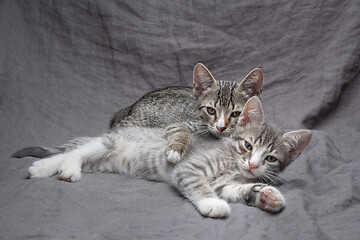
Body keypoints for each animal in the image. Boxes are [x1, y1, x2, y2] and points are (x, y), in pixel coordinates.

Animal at [13, 62, 264, 163]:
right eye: (211, 110)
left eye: (235, 114)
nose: (221, 126)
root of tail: (128, 110)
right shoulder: (180, 122)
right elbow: (181, 130)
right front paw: (175, 149)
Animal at [26, 96, 312, 218]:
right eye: (248, 145)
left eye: (271, 158)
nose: (252, 164)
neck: (233, 166)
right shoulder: (190, 167)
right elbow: (197, 184)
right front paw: (212, 203)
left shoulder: (225, 183)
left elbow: (237, 190)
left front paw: (264, 195)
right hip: (108, 143)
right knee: (76, 151)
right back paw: (61, 168)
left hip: (103, 162)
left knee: (73, 155)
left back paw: (48, 167)